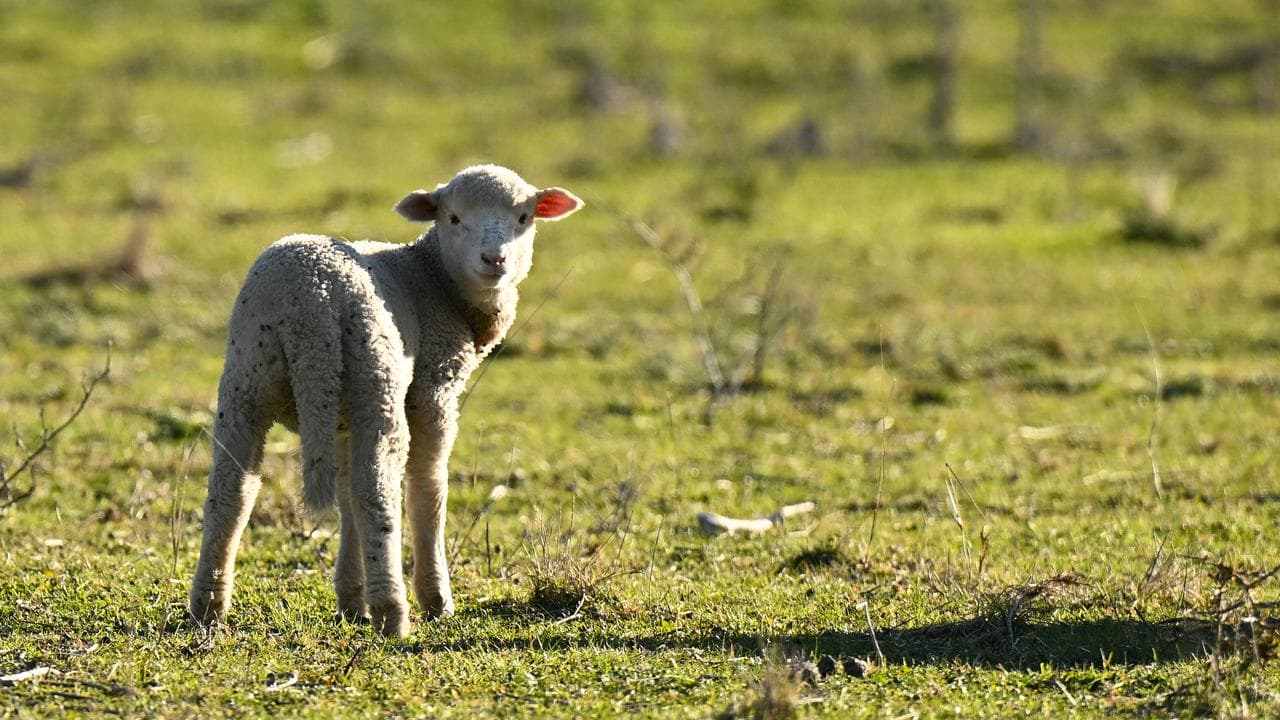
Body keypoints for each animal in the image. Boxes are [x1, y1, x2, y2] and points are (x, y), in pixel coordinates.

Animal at [188, 164, 583, 637]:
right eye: (453, 218)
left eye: (524, 217)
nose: (495, 260)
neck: (431, 278)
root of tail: (310, 304)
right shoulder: (434, 388)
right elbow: (428, 489)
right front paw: (435, 599)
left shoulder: (342, 418)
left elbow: (344, 495)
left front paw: (350, 600)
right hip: (376, 381)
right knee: (377, 492)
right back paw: (394, 611)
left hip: (250, 379)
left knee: (231, 489)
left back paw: (208, 607)